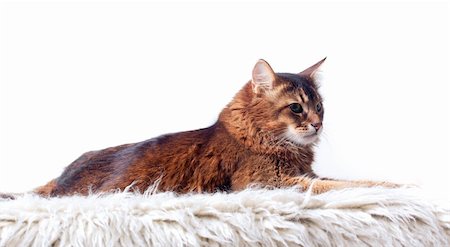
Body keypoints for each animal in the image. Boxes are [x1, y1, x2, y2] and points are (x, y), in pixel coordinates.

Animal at [31, 58, 396, 197]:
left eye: (319, 107)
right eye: (296, 108)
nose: (318, 124)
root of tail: (58, 180)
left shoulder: (302, 175)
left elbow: (337, 182)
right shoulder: (265, 182)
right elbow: (336, 186)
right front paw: (391, 186)